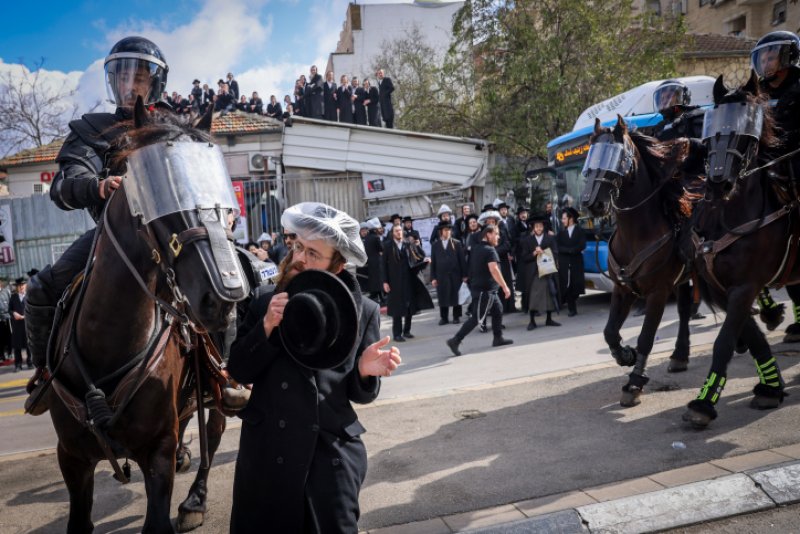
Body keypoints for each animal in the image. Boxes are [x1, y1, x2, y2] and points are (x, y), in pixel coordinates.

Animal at [40, 99, 245, 532]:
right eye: (162, 199)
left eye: (224, 208)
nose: (222, 297)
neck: (107, 343)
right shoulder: (72, 457)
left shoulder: (157, 453)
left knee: (215, 428)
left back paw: (195, 499)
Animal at [580, 117, 692, 408]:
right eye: (591, 157)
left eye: (616, 157)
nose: (591, 203)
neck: (636, 233)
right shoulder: (623, 289)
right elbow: (609, 331)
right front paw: (625, 355)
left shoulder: (658, 292)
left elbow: (646, 338)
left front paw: (634, 383)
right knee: (686, 310)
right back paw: (679, 356)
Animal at [680, 73, 792, 430]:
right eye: (713, 130)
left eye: (746, 134)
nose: (718, 182)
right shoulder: (724, 288)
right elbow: (750, 336)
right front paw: (771, 388)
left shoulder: (745, 287)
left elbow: (724, 341)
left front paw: (703, 403)